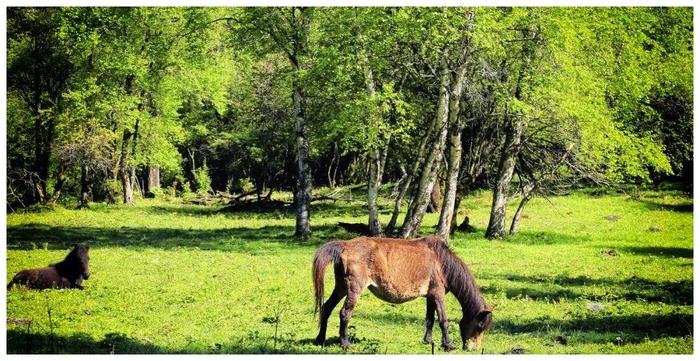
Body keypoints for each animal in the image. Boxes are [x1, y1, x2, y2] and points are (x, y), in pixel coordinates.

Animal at [312, 235, 492, 350]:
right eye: (480, 326)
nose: (474, 349)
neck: (441, 261)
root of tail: (345, 245)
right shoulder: (438, 293)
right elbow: (443, 320)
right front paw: (448, 345)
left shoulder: (430, 296)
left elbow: (430, 319)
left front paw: (428, 341)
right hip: (353, 289)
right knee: (344, 313)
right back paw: (345, 344)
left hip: (341, 287)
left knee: (327, 308)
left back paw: (320, 339)